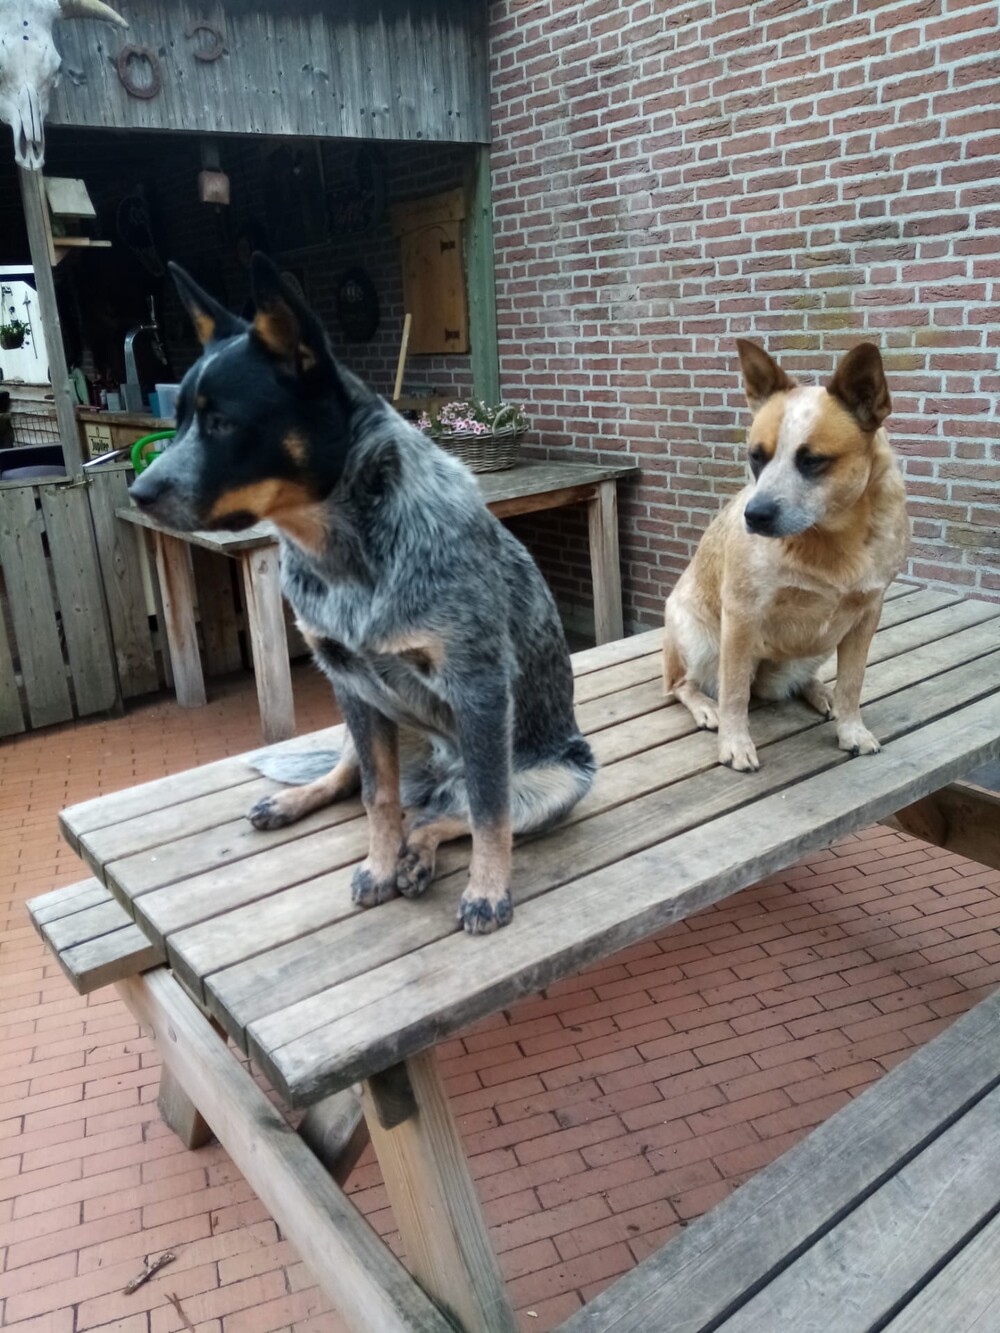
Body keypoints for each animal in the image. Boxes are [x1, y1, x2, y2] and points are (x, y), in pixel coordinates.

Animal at [129, 255, 595, 934]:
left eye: (222, 422)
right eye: (180, 420)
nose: (137, 493)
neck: (347, 556)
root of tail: (433, 774)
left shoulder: (479, 688)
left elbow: (490, 814)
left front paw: (487, 892)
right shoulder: (349, 681)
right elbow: (377, 796)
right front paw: (376, 867)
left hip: (562, 778)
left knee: (446, 814)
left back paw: (419, 854)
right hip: (361, 716)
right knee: (365, 783)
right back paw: (298, 802)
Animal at [662, 339, 910, 772]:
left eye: (812, 460)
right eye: (755, 456)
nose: (755, 515)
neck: (831, 539)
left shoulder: (867, 613)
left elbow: (852, 683)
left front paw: (852, 730)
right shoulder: (741, 613)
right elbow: (734, 693)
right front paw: (735, 744)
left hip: (821, 644)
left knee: (795, 682)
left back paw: (820, 693)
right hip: (700, 640)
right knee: (685, 684)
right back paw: (705, 706)